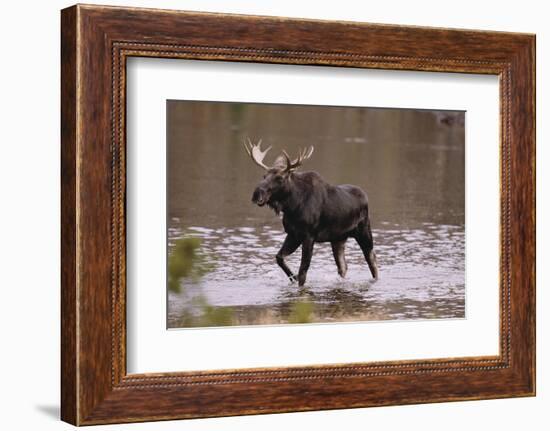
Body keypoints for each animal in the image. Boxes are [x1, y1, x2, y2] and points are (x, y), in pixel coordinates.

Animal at [246, 139, 380, 286]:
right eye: (264, 175)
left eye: (280, 178)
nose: (257, 193)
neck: (291, 206)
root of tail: (365, 196)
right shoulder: (293, 234)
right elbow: (279, 257)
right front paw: (293, 278)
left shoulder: (309, 236)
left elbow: (303, 270)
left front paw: (298, 280)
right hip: (338, 239)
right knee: (343, 266)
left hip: (364, 232)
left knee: (372, 260)